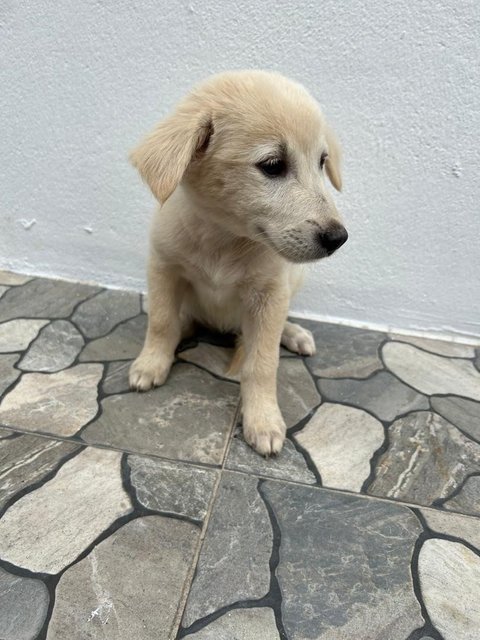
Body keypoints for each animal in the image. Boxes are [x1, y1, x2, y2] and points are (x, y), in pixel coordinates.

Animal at [127, 70, 346, 456]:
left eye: (322, 161)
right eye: (273, 165)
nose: (339, 238)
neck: (224, 238)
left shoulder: (270, 294)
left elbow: (262, 363)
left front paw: (263, 420)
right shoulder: (163, 267)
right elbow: (162, 322)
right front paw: (152, 362)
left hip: (294, 279)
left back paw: (294, 333)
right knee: (178, 317)